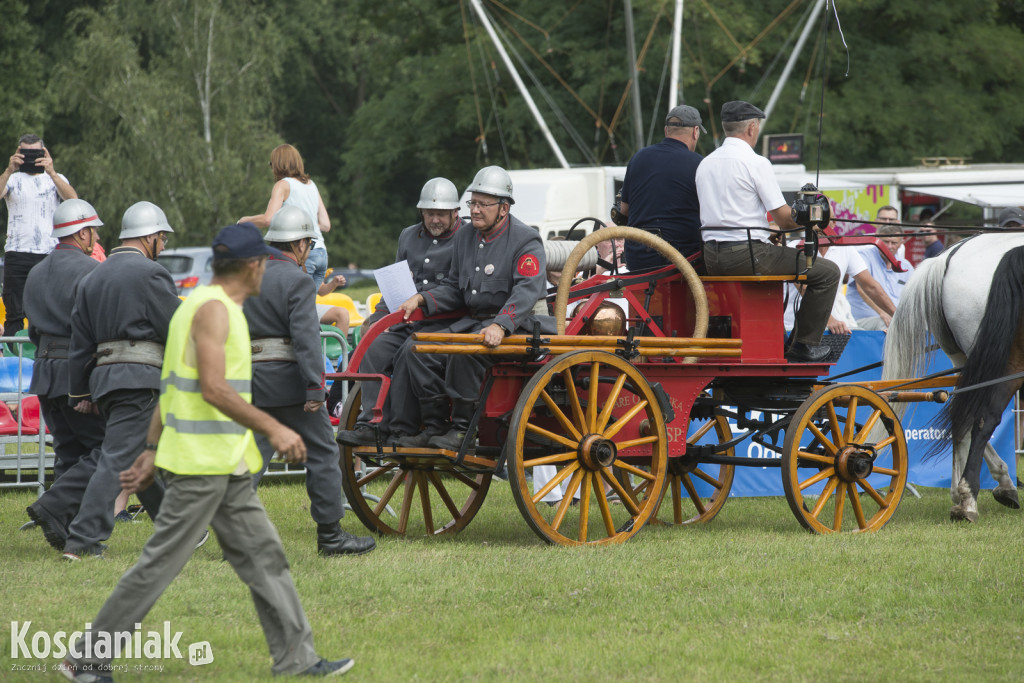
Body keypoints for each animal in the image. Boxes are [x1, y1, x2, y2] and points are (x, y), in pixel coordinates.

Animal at [880, 232, 1024, 520]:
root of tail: (945, 258)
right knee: (982, 417)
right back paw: (971, 496)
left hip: (969, 360)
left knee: (962, 413)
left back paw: (972, 492)